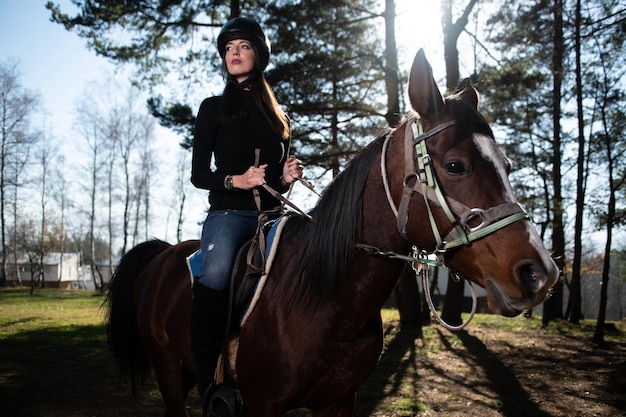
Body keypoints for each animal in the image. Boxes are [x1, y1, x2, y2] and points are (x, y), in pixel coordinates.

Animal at [102, 49, 556, 416]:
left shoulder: (338, 402)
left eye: (508, 166)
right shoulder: (262, 405)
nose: (539, 274)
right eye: (456, 165)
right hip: (168, 370)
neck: (324, 298)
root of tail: (162, 254)